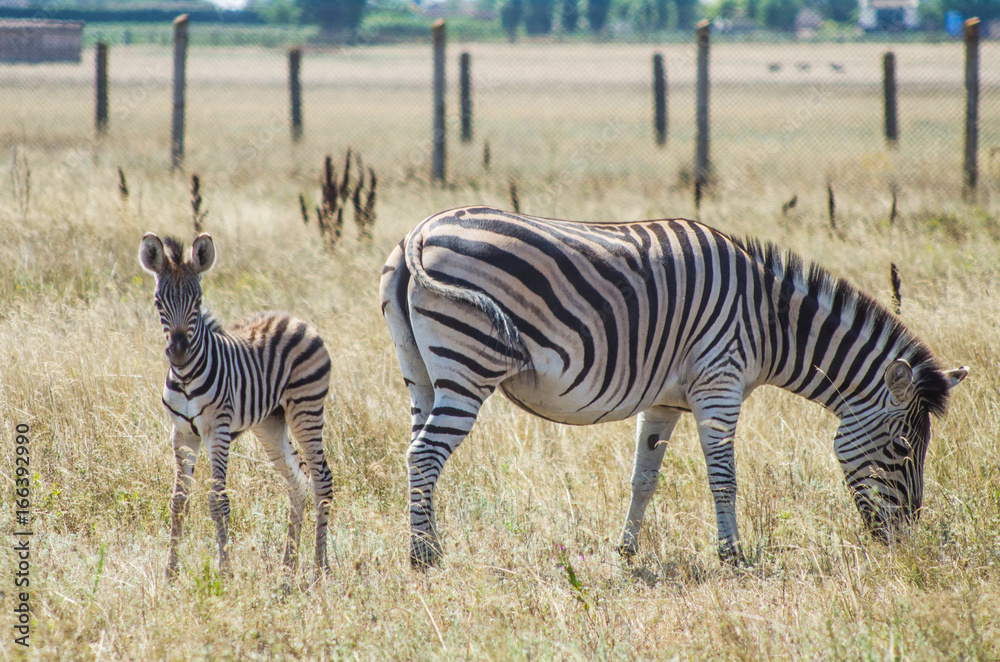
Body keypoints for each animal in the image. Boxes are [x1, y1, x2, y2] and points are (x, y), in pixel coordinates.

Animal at [139, 232, 333, 579]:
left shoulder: (218, 430)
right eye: (158, 303)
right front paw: (171, 572)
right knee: (298, 483)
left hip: (306, 409)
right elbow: (178, 501)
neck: (186, 377)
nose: (178, 353)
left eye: (198, 303)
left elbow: (218, 500)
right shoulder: (181, 434)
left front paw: (225, 572)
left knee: (322, 481)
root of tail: (296, 319)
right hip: (271, 424)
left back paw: (319, 569)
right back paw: (287, 569)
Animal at [379, 206, 968, 568]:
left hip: (420, 373)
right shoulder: (719, 384)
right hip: (469, 364)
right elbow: (724, 478)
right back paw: (423, 558)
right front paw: (732, 555)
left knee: (415, 451)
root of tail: (418, 234)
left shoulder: (662, 402)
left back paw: (426, 544)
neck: (769, 322)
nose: (903, 542)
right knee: (425, 455)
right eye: (903, 448)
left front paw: (625, 552)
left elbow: (643, 479)